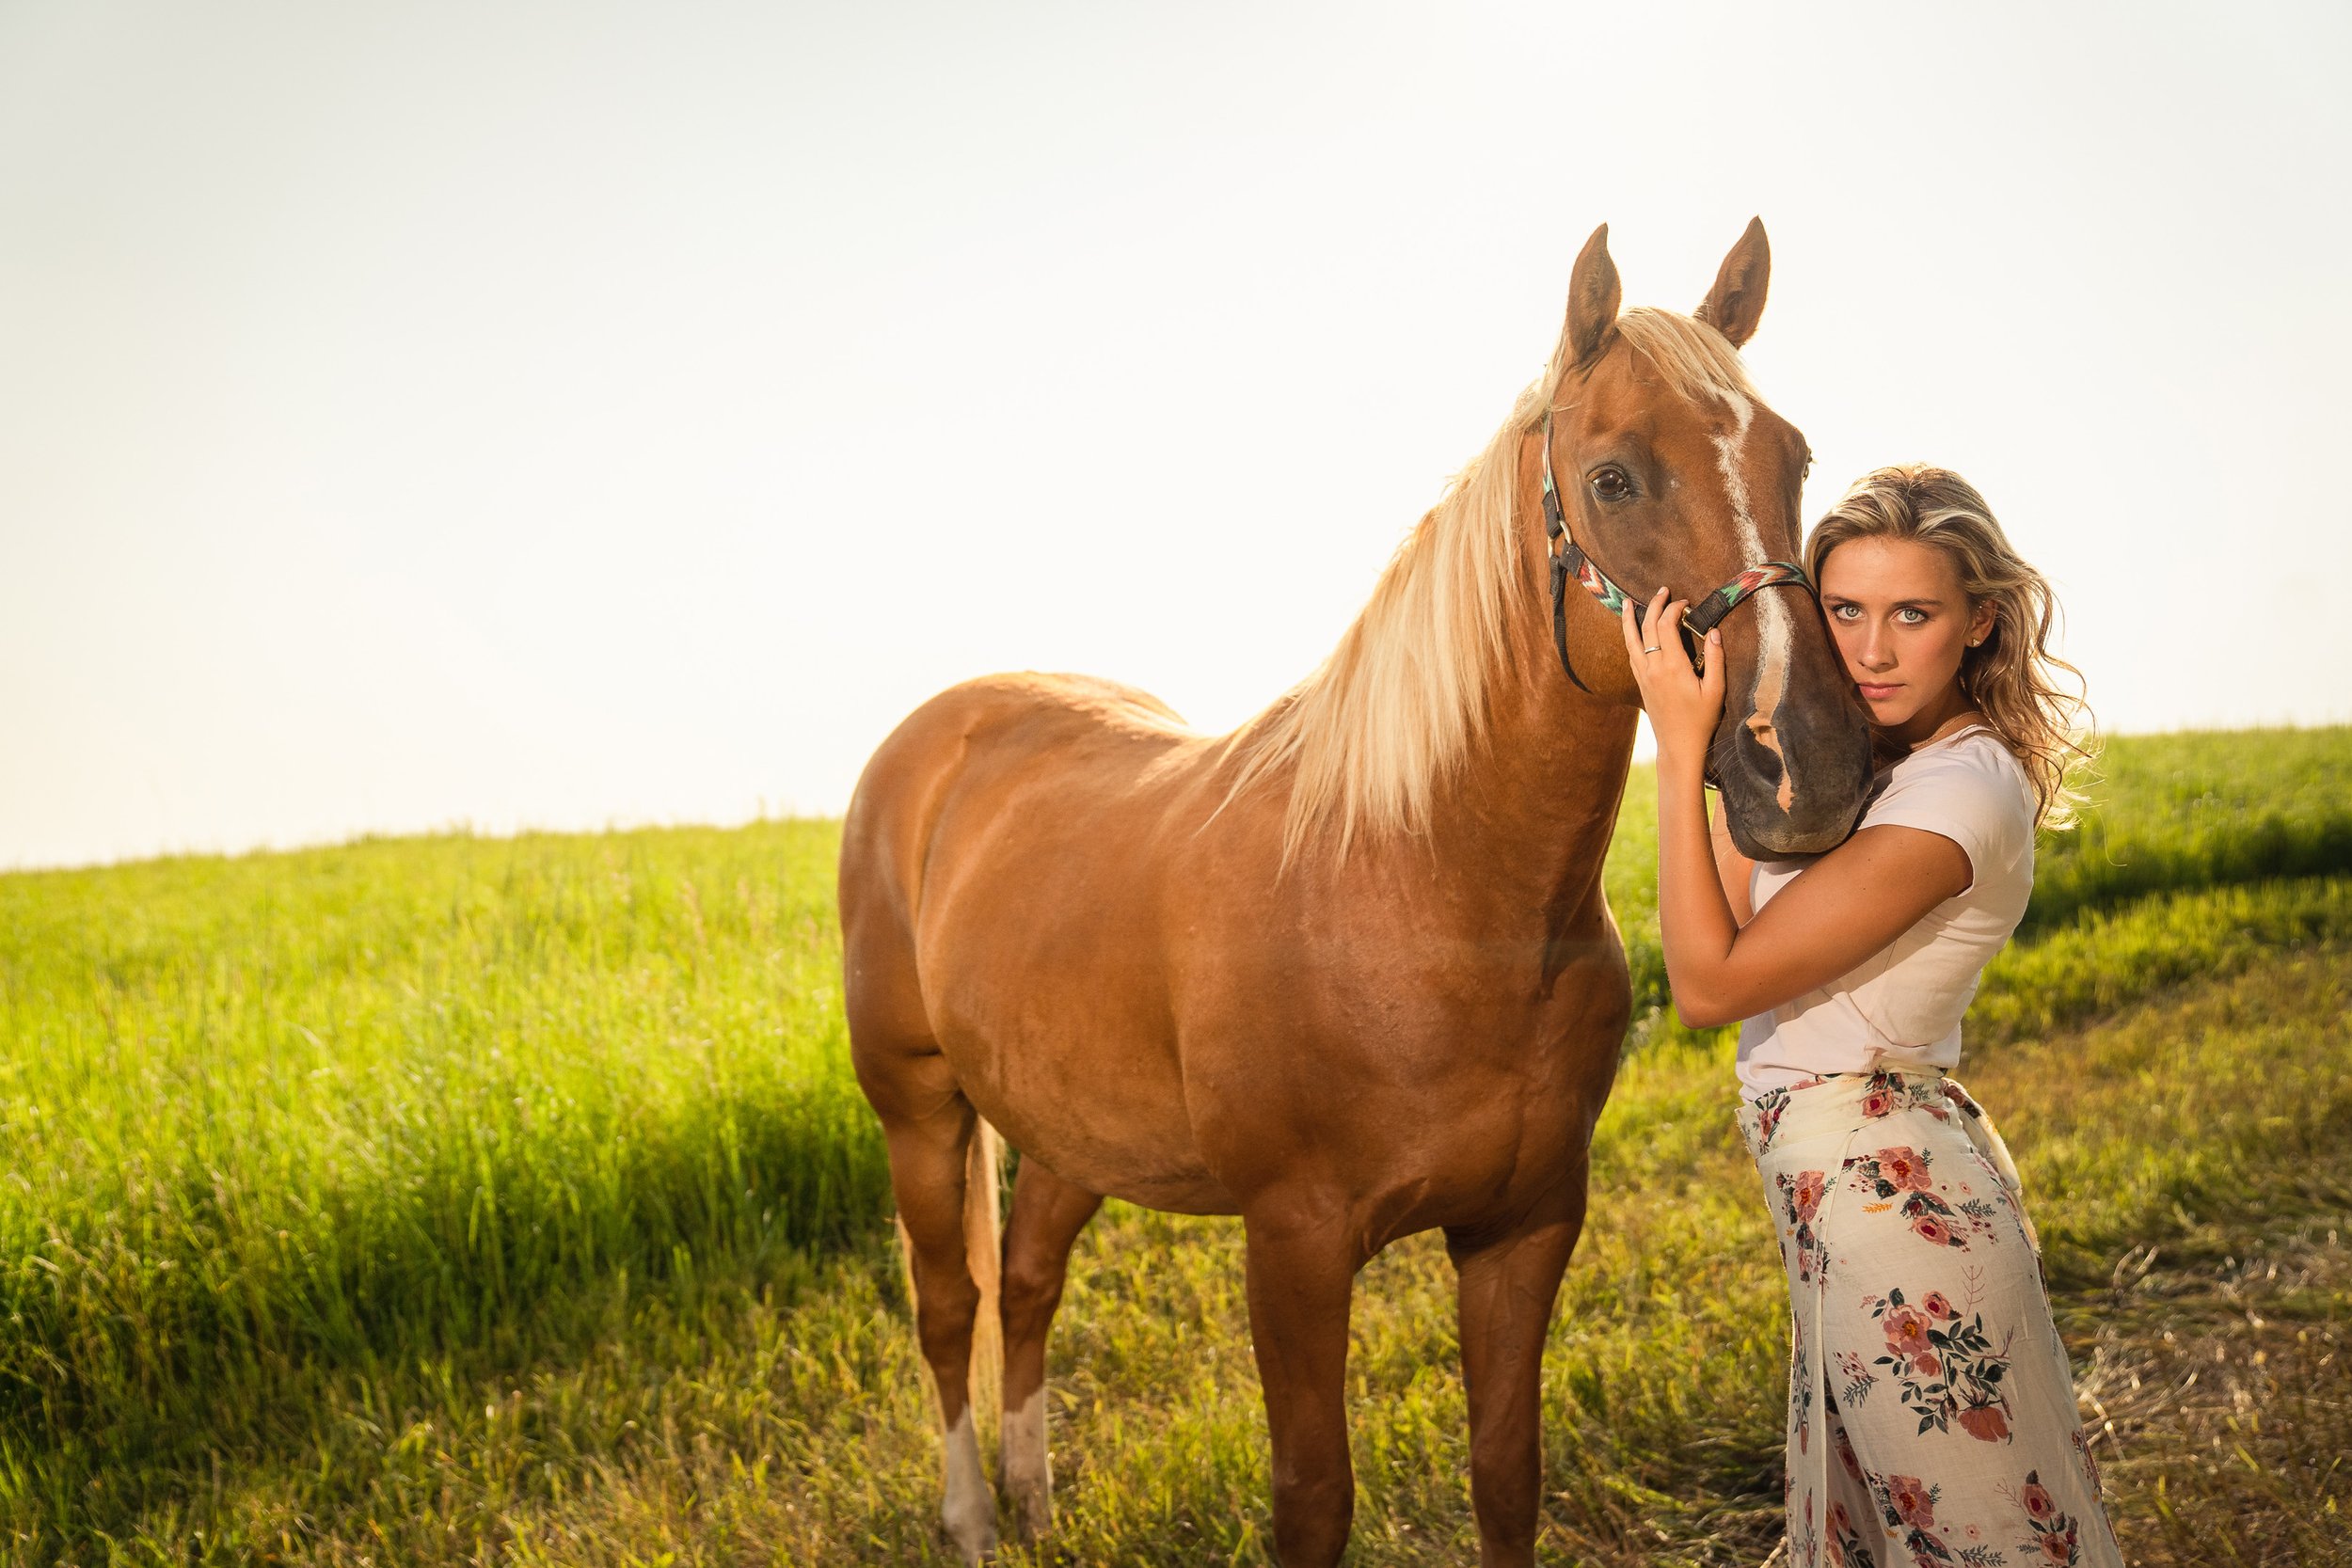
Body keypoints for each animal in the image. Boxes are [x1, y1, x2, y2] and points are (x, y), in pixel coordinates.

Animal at [842, 223, 1872, 1568]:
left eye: (1790, 455)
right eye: (1612, 479)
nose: (1810, 766)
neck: (1427, 890)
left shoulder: (1524, 1224)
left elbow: (1506, 1471)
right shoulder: (1294, 1244)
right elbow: (1314, 1497)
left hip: (1065, 1123)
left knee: (1024, 1280)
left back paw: (1035, 1501)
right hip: (918, 1106)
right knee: (947, 1301)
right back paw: (971, 1517)